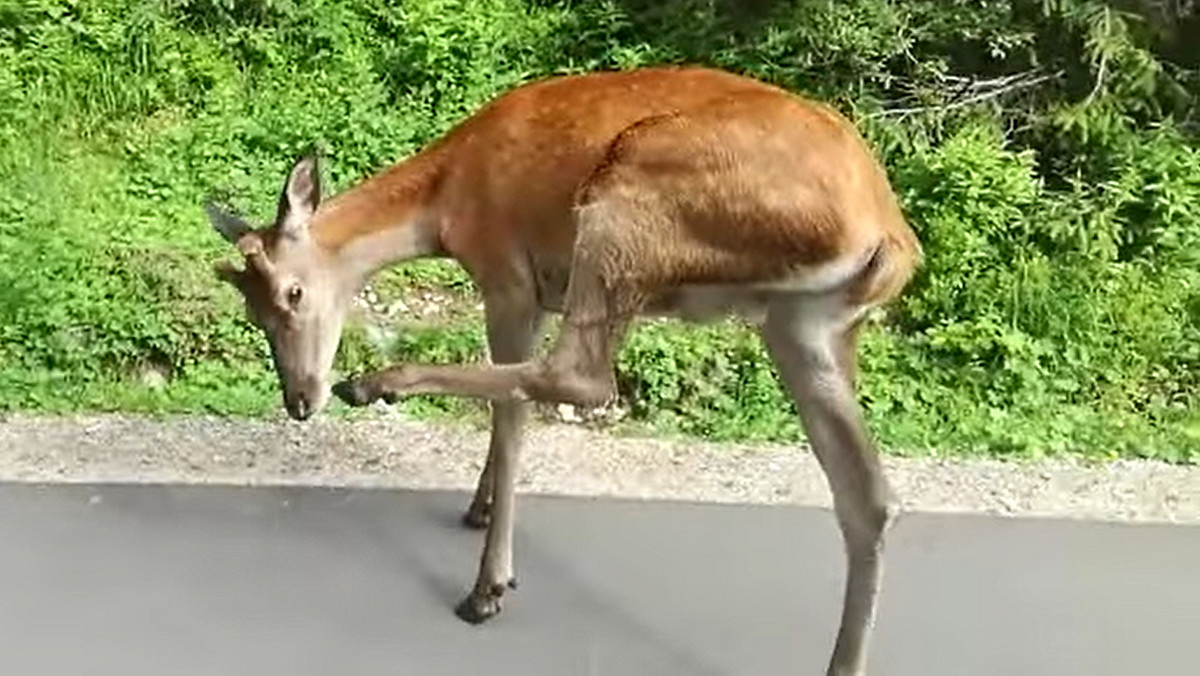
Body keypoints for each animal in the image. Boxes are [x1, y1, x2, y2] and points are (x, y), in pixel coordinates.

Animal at [204, 64, 916, 676]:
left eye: (292, 293)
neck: (445, 202)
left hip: (624, 211)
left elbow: (512, 411)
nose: (299, 398)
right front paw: (479, 507)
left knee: (585, 376)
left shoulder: (508, 274)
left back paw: (382, 388)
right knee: (869, 496)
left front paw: (492, 579)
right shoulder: (541, 293)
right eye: (252, 310)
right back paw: (843, 663)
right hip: (806, 324)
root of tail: (886, 238)